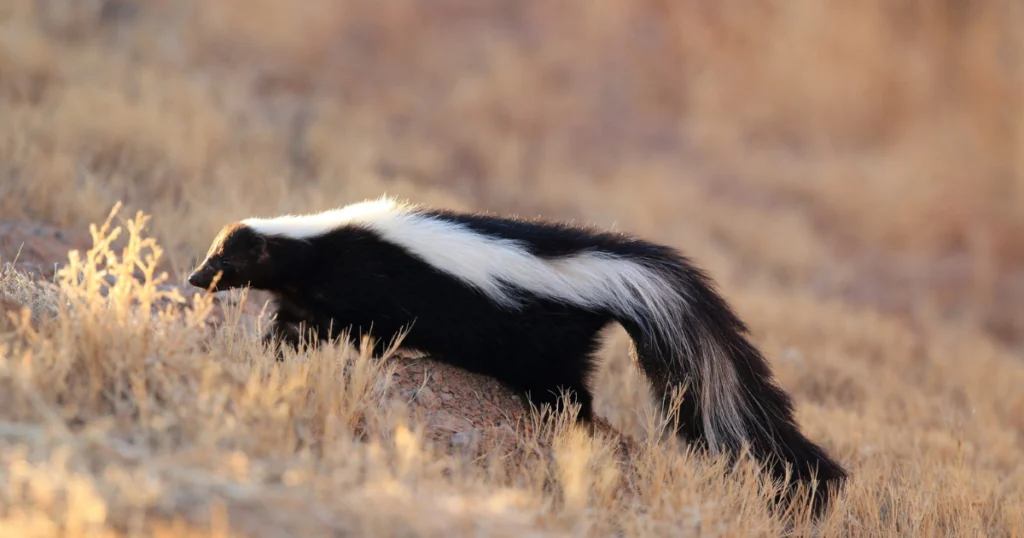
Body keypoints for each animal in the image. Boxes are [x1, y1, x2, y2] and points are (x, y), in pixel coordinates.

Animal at [190, 195, 847, 512]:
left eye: (225, 259)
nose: (195, 278)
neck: (315, 244)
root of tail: (595, 271)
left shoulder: (365, 285)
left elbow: (359, 329)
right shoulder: (312, 292)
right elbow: (298, 322)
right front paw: (275, 341)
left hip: (546, 341)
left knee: (569, 388)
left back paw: (569, 421)